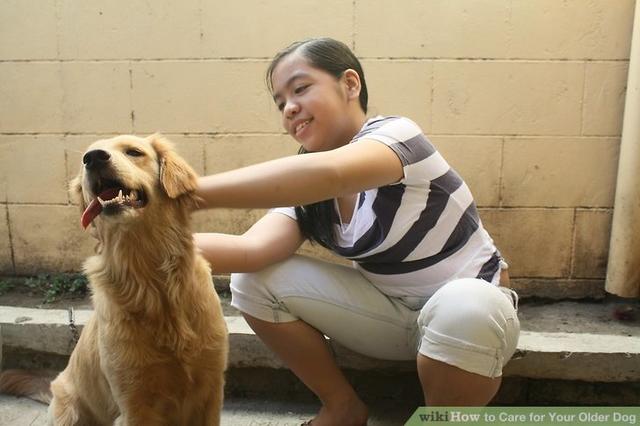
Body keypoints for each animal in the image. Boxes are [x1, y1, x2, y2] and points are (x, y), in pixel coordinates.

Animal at [0, 135, 230, 424]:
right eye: (84, 159)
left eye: (134, 152)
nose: (93, 158)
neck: (150, 278)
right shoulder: (134, 403)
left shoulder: (211, 389)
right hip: (70, 410)